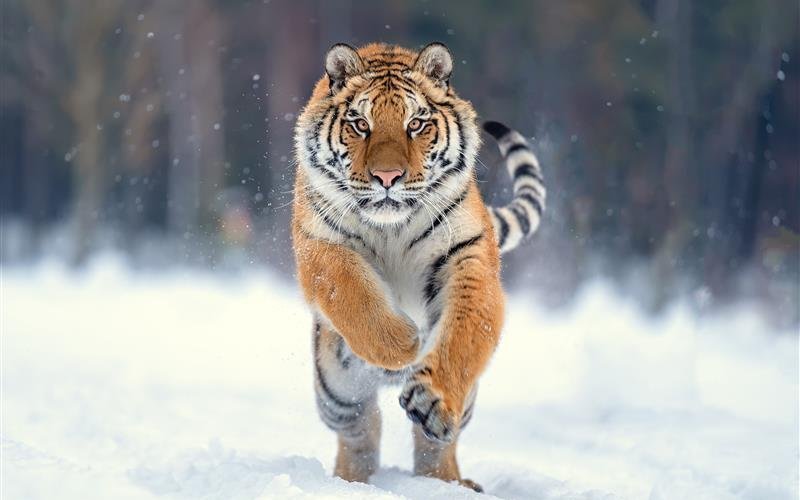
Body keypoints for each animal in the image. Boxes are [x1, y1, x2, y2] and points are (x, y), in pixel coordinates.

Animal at [291, 42, 546, 492]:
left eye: (416, 124)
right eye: (360, 124)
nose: (387, 177)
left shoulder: (467, 255)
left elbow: (465, 332)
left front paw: (432, 397)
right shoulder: (320, 245)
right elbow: (351, 293)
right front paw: (403, 343)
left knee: (434, 444)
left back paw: (448, 483)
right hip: (336, 391)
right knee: (361, 429)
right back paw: (350, 482)